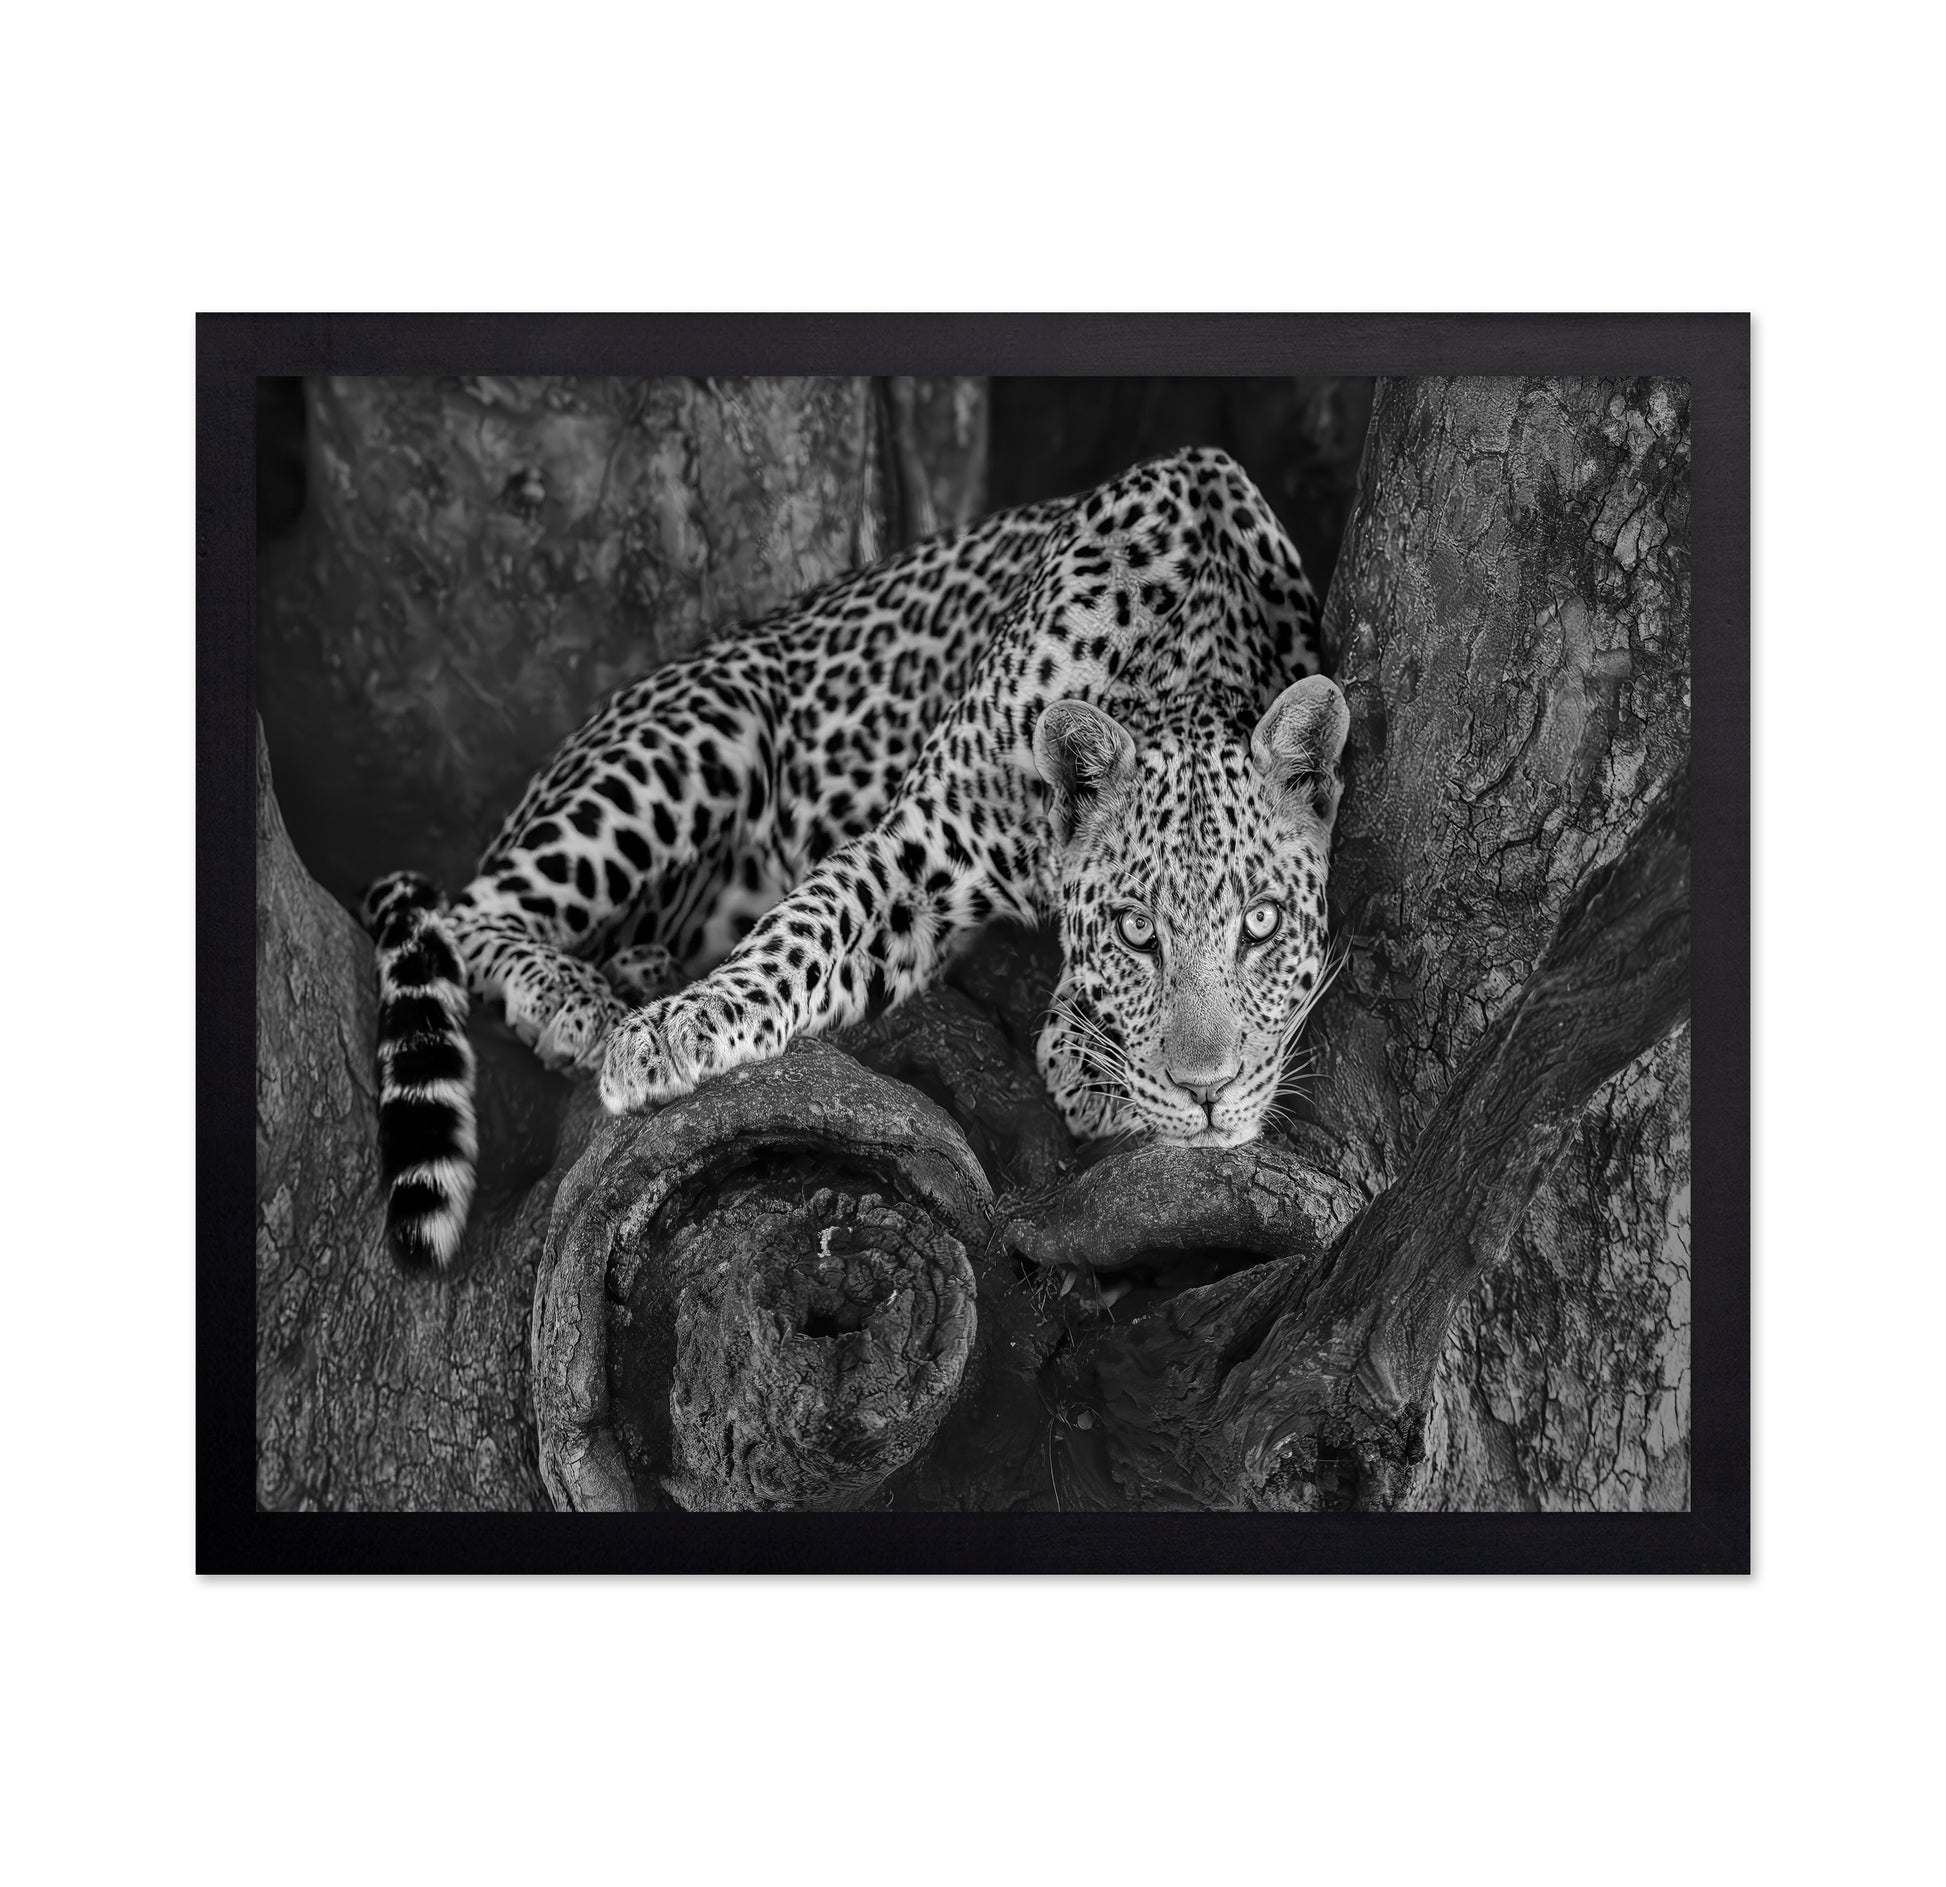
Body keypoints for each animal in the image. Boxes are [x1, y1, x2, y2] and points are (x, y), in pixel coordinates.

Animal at [363, 447, 1350, 1272]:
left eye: (1262, 924)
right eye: (1137, 932)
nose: (1210, 1094)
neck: (1184, 653)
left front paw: (1086, 1051)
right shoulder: (917, 844)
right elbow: (800, 929)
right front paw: (674, 1033)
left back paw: (637, 966)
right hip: (700, 732)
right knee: (463, 910)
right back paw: (577, 1001)